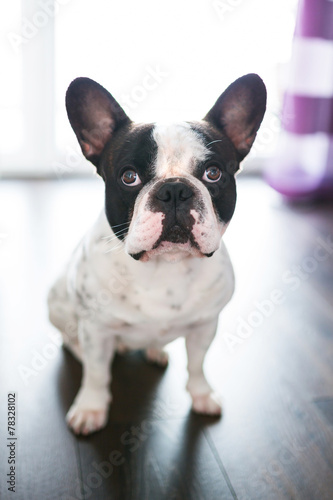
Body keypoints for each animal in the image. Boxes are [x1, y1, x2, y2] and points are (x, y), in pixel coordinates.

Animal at [48, 73, 266, 434]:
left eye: (213, 173)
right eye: (129, 177)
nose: (175, 189)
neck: (166, 267)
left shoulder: (205, 326)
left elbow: (197, 365)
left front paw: (202, 395)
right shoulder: (97, 331)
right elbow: (96, 373)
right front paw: (91, 408)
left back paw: (155, 351)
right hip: (58, 305)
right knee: (75, 344)